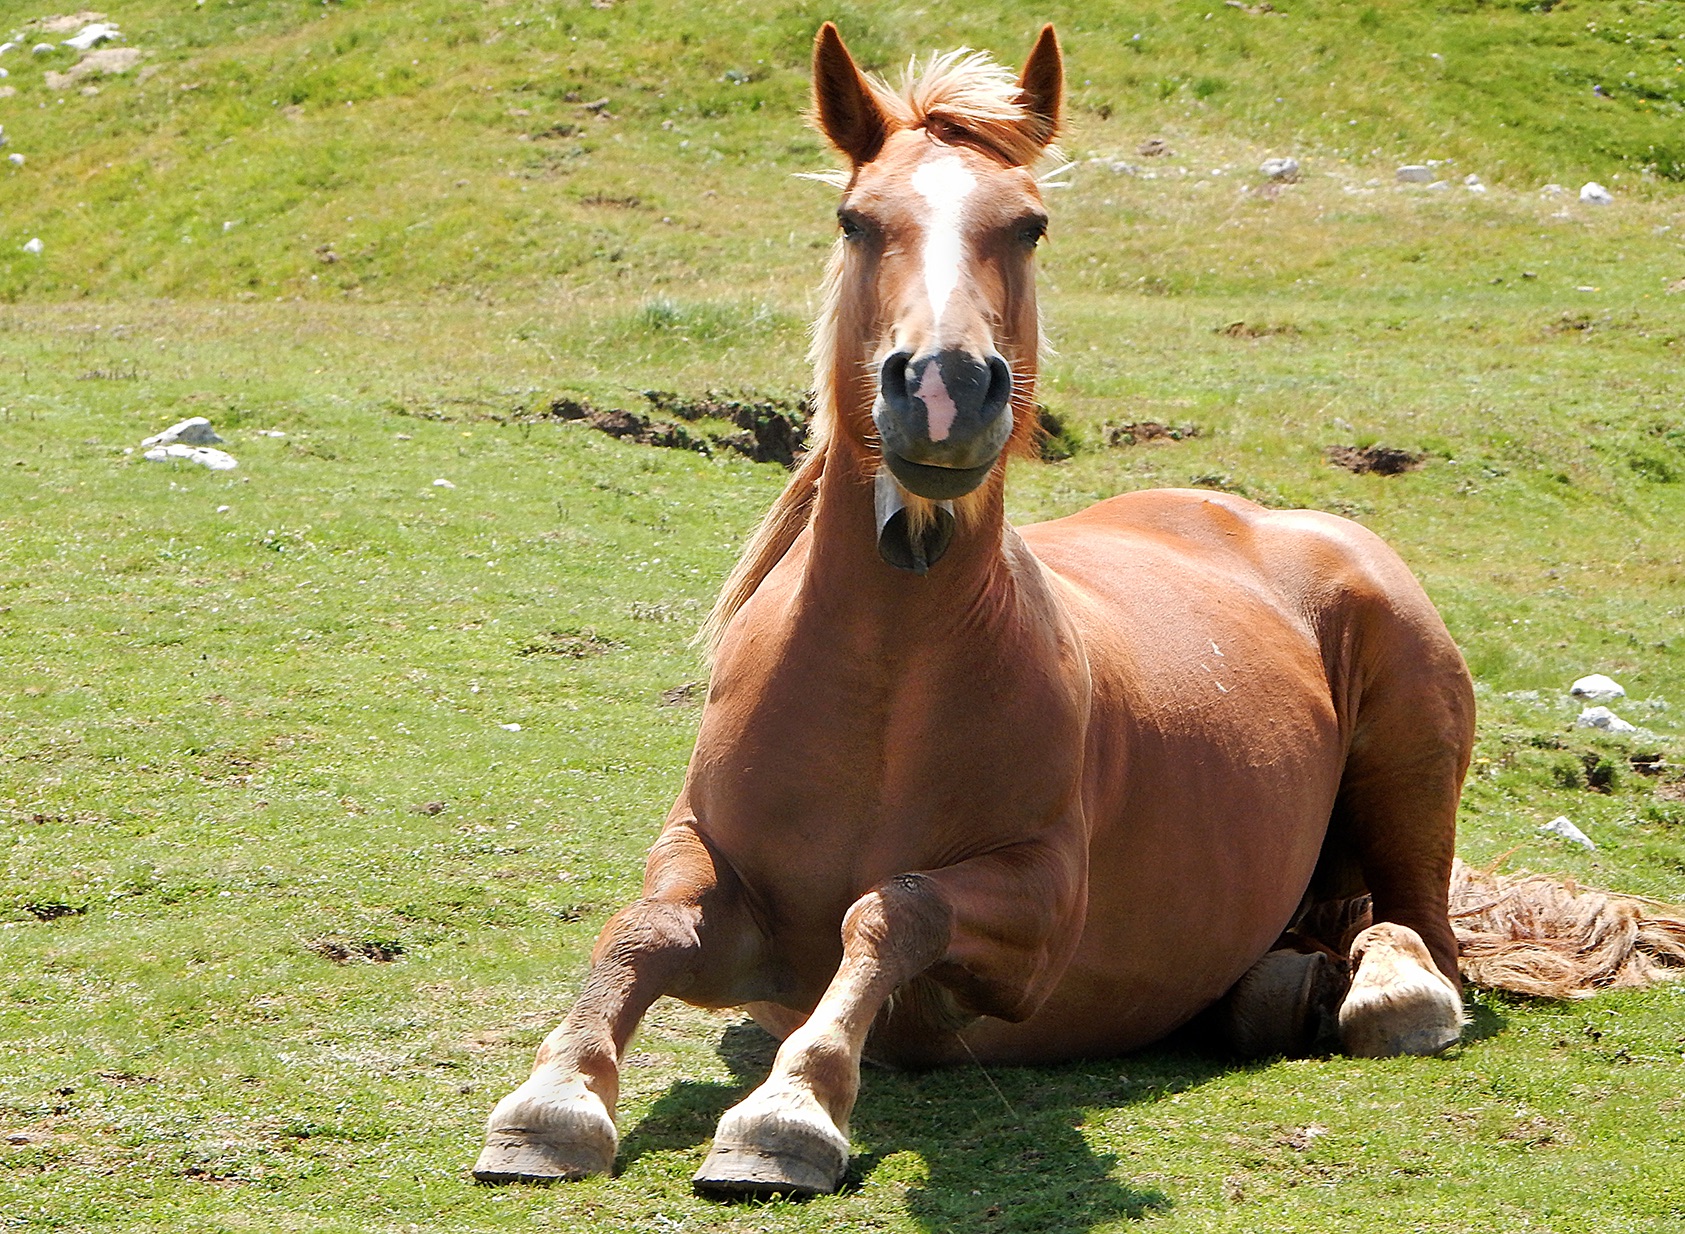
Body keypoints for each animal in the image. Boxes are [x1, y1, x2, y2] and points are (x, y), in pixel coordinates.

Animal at [472, 23, 1480, 1198]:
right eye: (855, 217)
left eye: (1029, 223)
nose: (944, 387)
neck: (885, 690)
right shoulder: (715, 873)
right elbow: (637, 932)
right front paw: (555, 1099)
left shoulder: (1036, 913)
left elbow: (891, 908)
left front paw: (787, 1110)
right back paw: (1273, 992)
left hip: (1407, 766)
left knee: (1419, 937)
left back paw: (1383, 994)